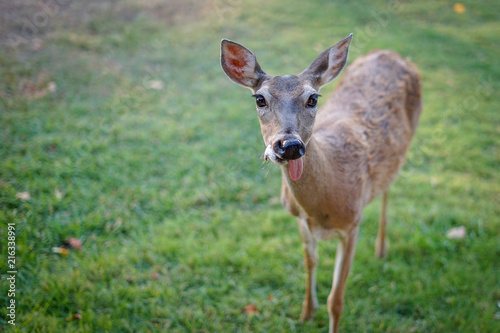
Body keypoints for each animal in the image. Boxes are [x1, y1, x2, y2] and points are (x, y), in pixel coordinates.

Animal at [221, 34, 420, 332]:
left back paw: (381, 249)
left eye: (313, 98)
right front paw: (306, 312)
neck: (322, 206)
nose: (288, 145)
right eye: (260, 99)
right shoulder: (300, 220)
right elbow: (309, 264)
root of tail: (391, 53)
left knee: (388, 189)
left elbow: (336, 300)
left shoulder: (352, 225)